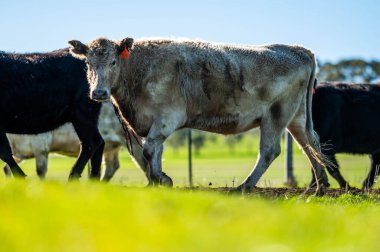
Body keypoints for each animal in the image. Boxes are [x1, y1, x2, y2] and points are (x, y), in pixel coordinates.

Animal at [0, 49, 104, 179]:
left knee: (91, 143)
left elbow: (5, 153)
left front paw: (21, 177)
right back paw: (94, 180)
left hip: (83, 114)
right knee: (98, 143)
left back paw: (73, 176)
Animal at [69, 37, 330, 194]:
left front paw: (161, 180)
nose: (98, 92)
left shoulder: (166, 117)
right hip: (297, 117)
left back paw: (244, 187)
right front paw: (158, 181)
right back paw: (320, 188)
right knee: (311, 143)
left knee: (270, 151)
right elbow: (155, 152)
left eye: (113, 61)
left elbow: (149, 150)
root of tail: (300, 50)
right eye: (88, 63)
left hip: (276, 114)